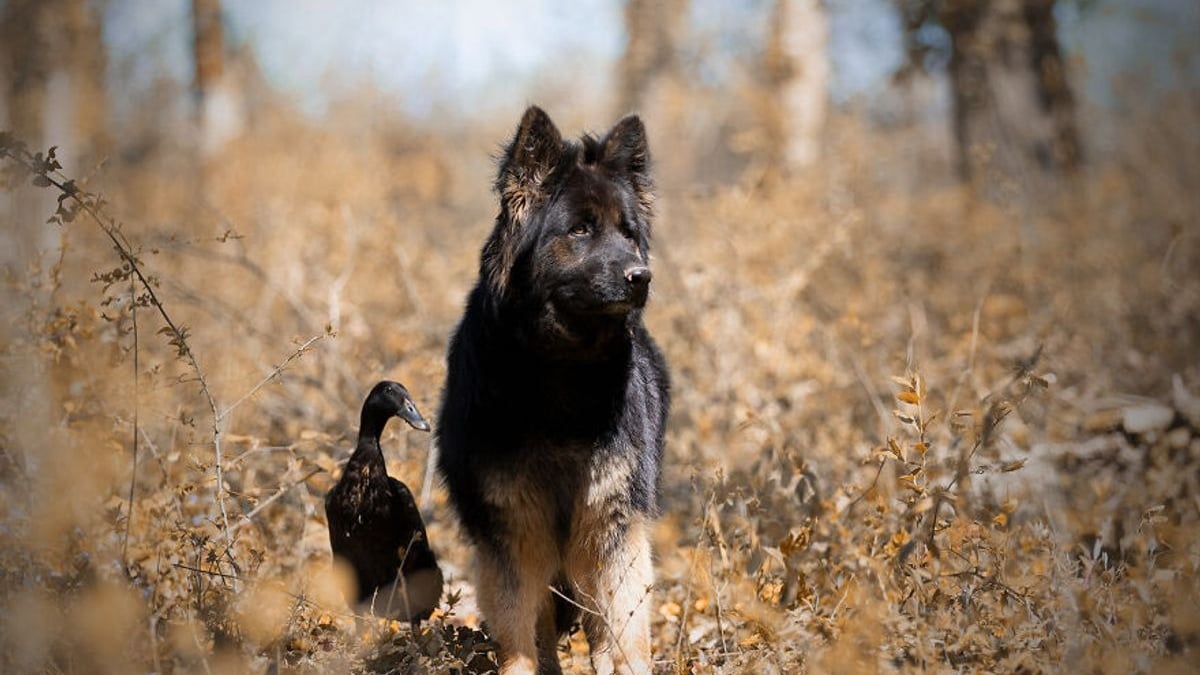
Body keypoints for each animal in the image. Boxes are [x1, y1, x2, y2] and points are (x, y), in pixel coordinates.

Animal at [436, 106, 672, 672]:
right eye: (581, 229)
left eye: (627, 232)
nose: (642, 277)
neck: (562, 374)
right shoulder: (515, 529)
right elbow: (521, 636)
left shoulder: (611, 523)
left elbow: (625, 630)